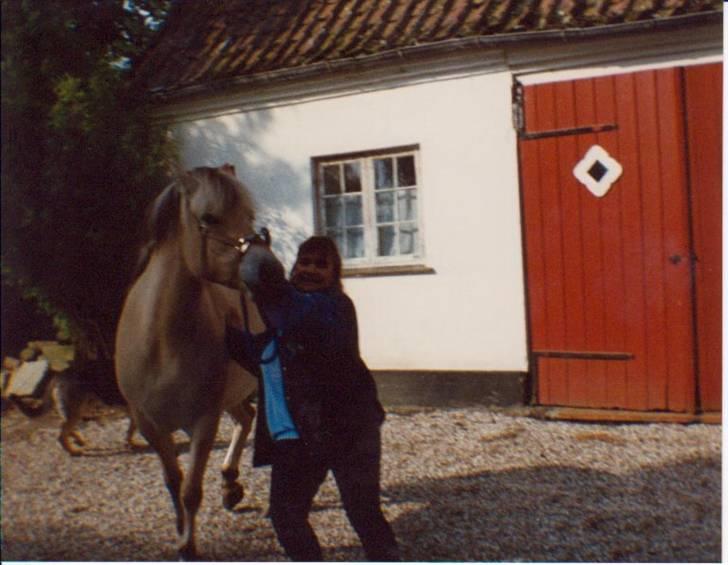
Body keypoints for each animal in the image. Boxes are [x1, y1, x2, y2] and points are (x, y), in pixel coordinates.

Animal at [114, 164, 262, 560]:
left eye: (250, 215)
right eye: (208, 217)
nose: (264, 268)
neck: (161, 341)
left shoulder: (204, 420)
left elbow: (191, 489)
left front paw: (189, 546)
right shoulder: (149, 424)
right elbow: (172, 482)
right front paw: (181, 534)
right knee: (246, 417)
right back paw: (229, 485)